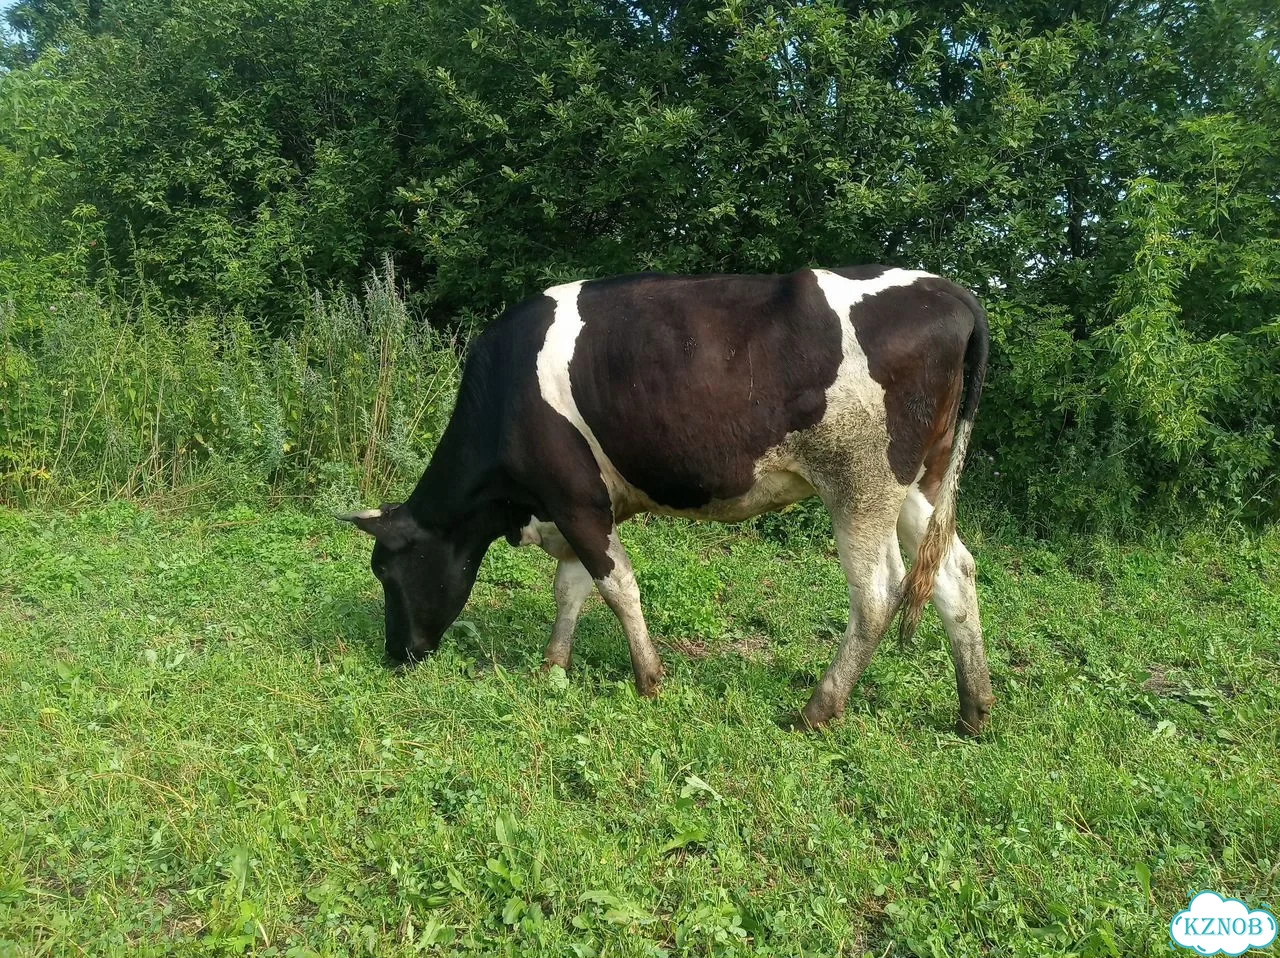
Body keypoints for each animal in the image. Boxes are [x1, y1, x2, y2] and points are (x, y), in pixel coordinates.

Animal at [340, 266, 996, 735]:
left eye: (386, 571)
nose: (396, 653)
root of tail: (946, 290)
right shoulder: (579, 504)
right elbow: (572, 586)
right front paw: (554, 666)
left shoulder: (574, 497)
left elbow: (616, 586)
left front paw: (649, 678)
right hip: (919, 482)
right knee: (954, 574)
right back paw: (974, 710)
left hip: (861, 483)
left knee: (879, 593)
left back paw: (818, 708)